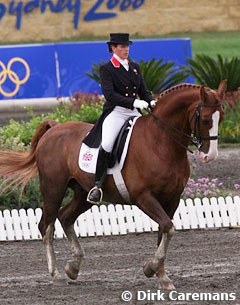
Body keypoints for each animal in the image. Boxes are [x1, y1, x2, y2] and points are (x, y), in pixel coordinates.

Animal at [0, 80, 226, 288]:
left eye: (221, 117)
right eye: (205, 119)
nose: (210, 156)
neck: (161, 142)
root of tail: (54, 129)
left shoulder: (172, 199)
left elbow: (163, 232)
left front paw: (161, 276)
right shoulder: (144, 197)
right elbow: (168, 228)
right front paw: (151, 269)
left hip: (83, 194)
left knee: (65, 217)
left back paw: (73, 267)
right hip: (53, 188)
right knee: (46, 226)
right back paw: (55, 273)